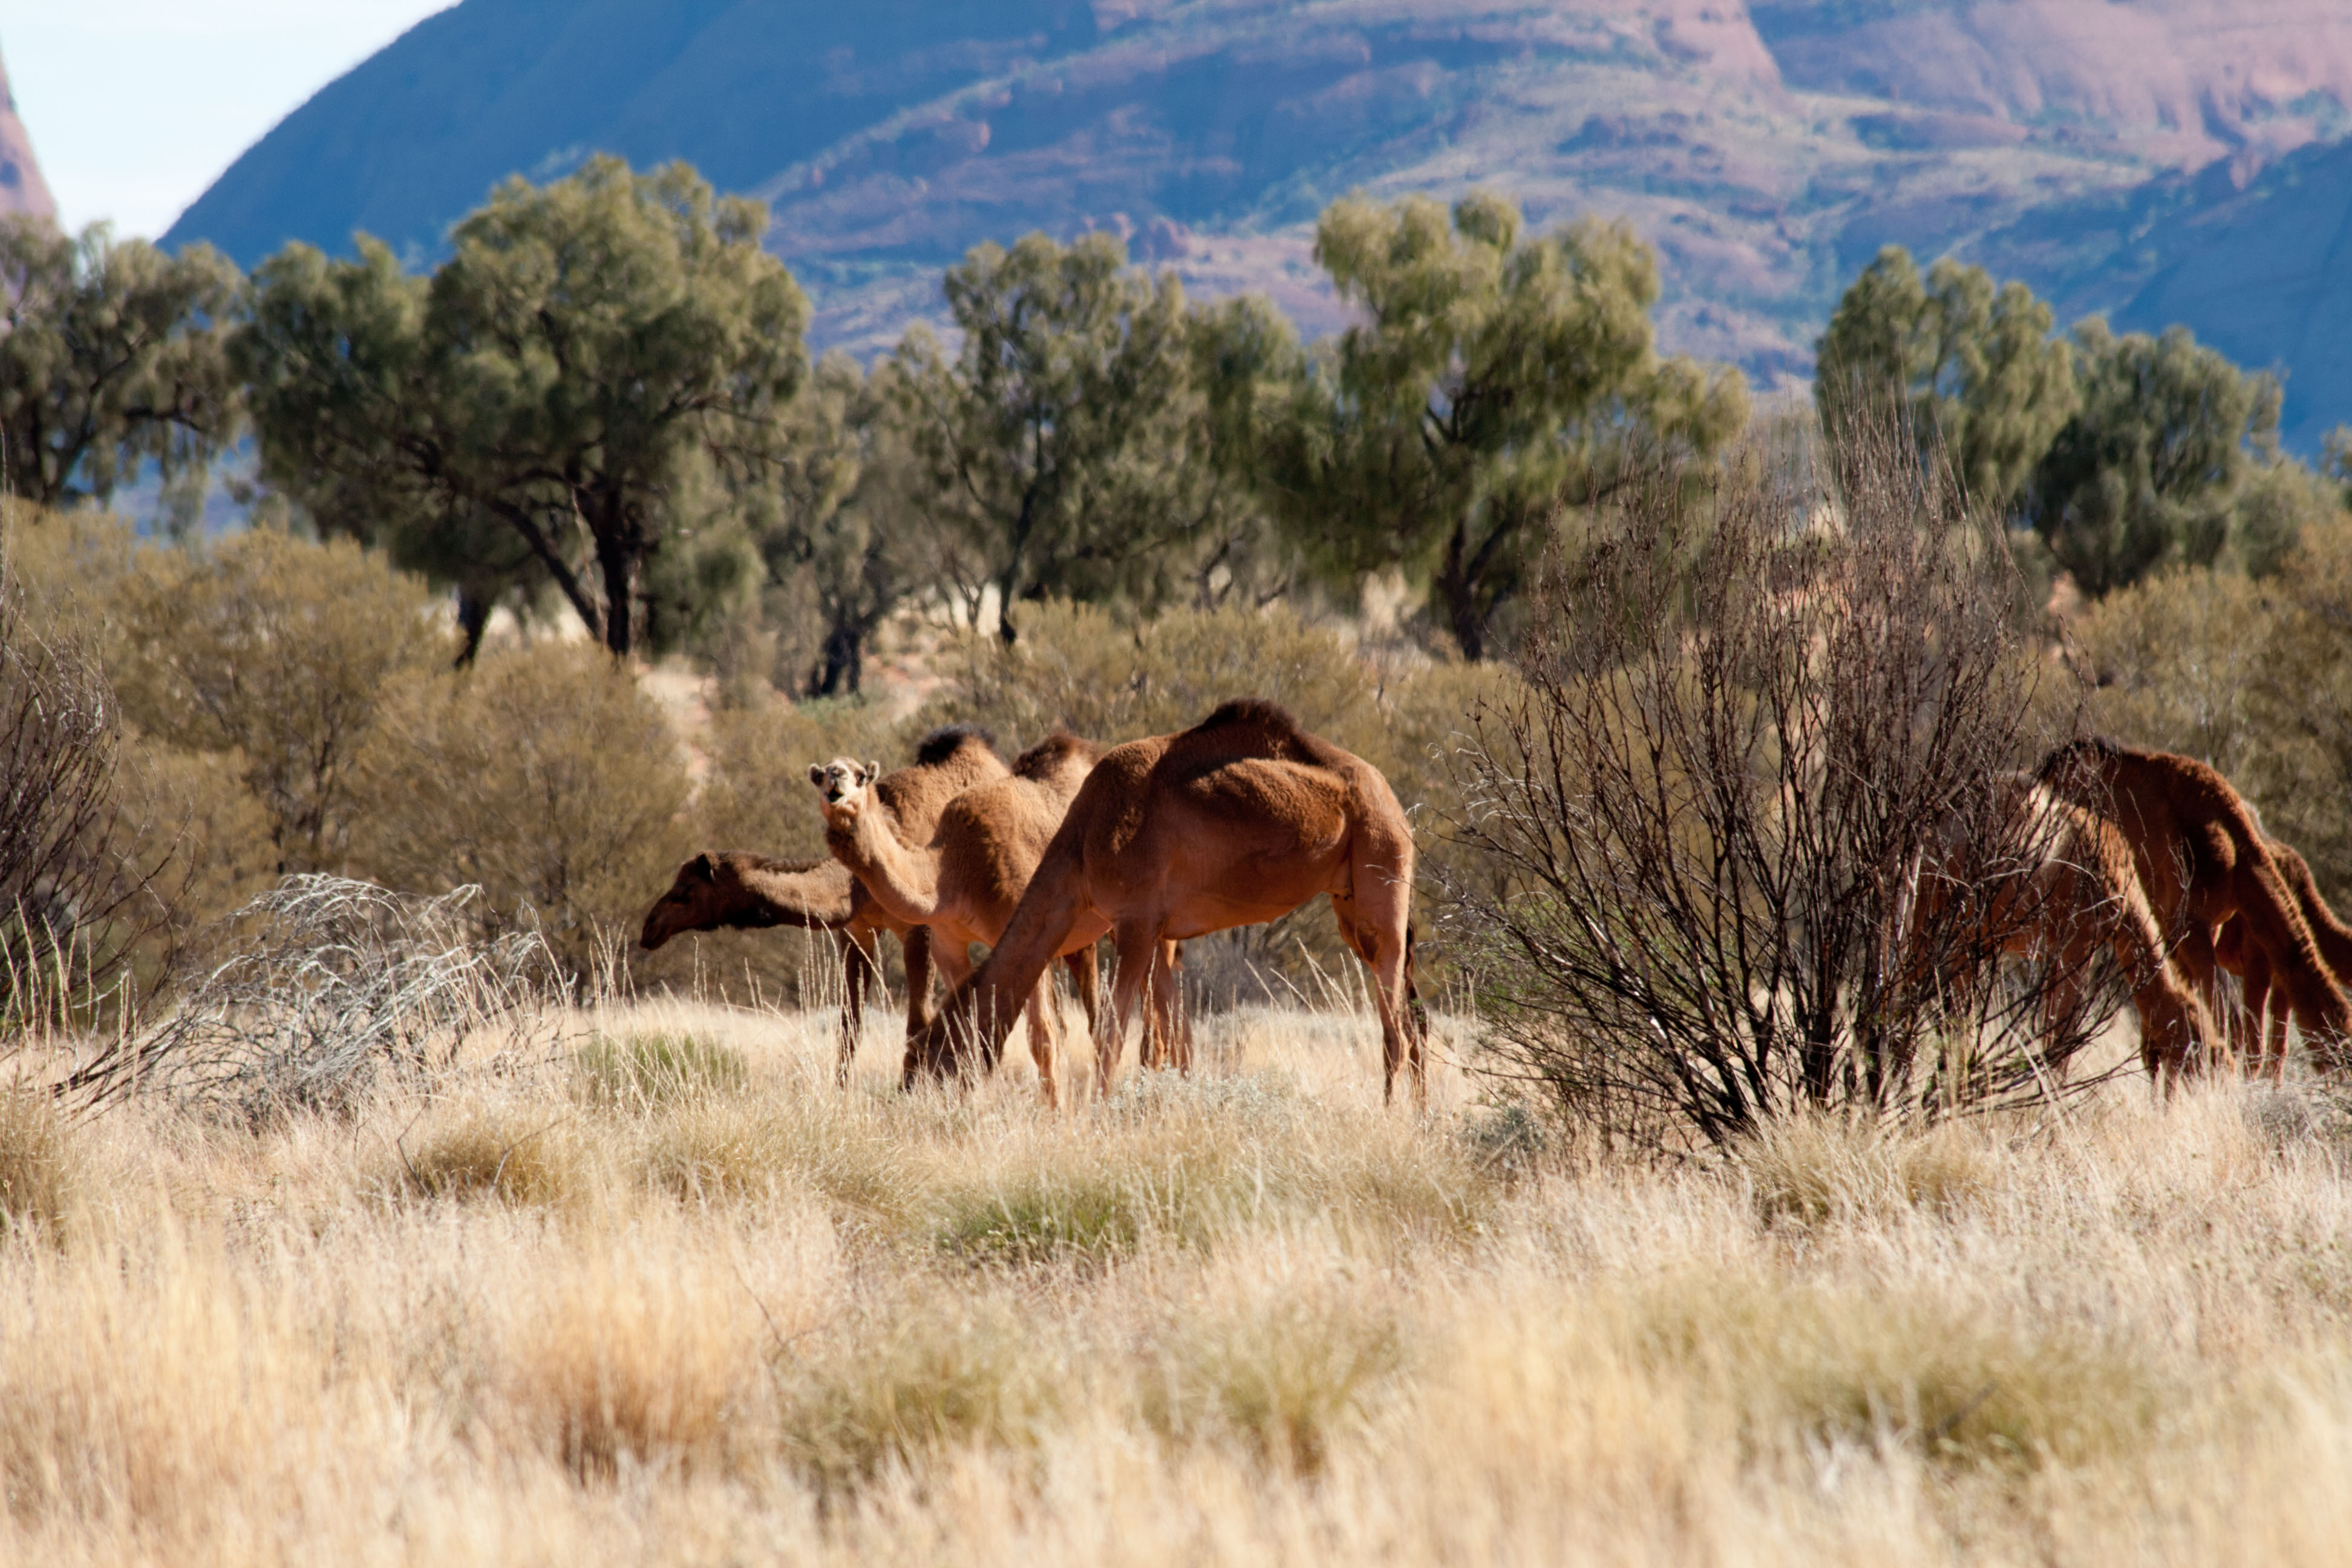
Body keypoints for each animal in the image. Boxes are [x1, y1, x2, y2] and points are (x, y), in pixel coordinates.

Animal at [649, 851, 941, 1086]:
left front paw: (908, 1093)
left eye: (686, 890)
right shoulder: (857, 930)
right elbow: (850, 1025)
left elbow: (919, 1021)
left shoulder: (922, 928)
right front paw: (841, 1094)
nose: (650, 927)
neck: (857, 886)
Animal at [818, 733, 1110, 1109]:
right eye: (820, 775)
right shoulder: (948, 943)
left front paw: (1056, 1112)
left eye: (861, 776)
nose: (836, 781)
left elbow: (1042, 1036)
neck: (954, 869)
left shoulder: (1031, 931)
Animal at [898, 691, 1420, 1109]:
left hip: (1380, 863)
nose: (910, 1101)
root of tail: (1393, 800)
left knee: (1395, 1021)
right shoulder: (1152, 930)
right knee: (1411, 1013)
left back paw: (1391, 1118)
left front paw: (1096, 1120)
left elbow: (1111, 1034)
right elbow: (1176, 1035)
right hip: (1349, 900)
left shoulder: (1134, 922)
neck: (1082, 841)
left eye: (935, 1058)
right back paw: (1419, 1119)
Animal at [2032, 742, 2342, 1072]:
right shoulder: (2190, 924)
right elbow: (2229, 1025)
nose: (2336, 1075)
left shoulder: (2204, 927)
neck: (2235, 850)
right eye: (2338, 1042)